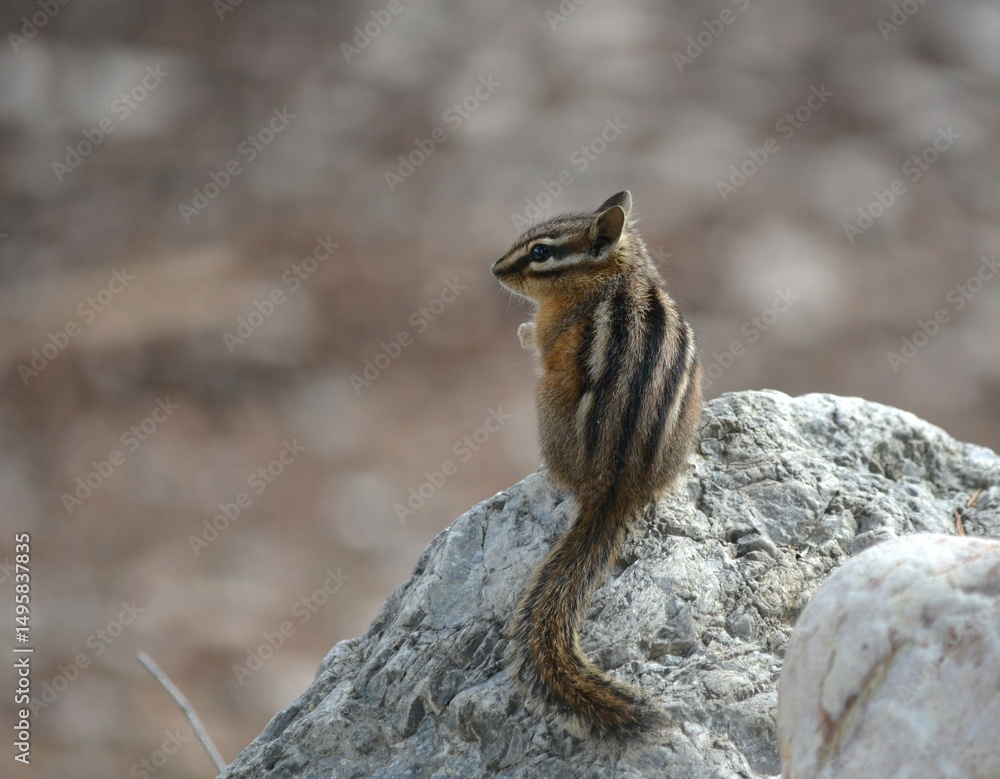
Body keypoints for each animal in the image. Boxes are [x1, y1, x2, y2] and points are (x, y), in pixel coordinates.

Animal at [491, 191, 702, 743]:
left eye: (540, 252)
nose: (495, 269)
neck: (622, 273)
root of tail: (615, 487)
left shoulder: (556, 330)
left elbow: (540, 339)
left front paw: (523, 330)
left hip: (546, 406)